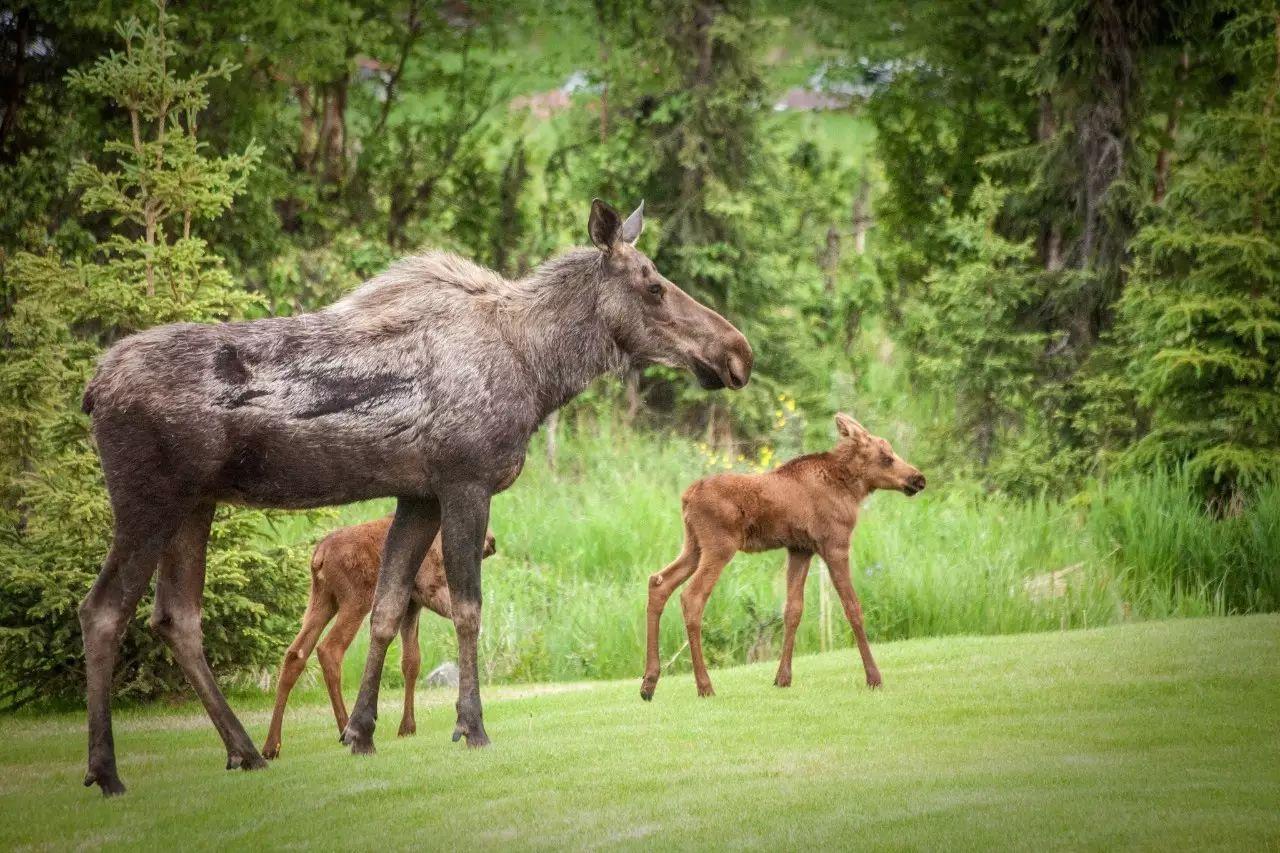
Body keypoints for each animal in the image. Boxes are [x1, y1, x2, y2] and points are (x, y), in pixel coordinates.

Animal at [259, 512, 494, 758]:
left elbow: (411, 662)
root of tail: (318, 557)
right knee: (329, 649)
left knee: (295, 653)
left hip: (322, 599)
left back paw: (271, 745)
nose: (492, 542)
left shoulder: (413, 603)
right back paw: (346, 728)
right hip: (355, 599)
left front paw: (407, 727)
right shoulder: (429, 587)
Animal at [645, 412, 926, 696]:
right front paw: (874, 677)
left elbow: (793, 610)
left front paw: (783, 677)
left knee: (659, 582)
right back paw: (704, 686)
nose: (918, 479)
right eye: (887, 457)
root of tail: (686, 497)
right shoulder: (834, 545)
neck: (850, 488)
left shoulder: (800, 549)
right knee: (691, 596)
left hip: (693, 546)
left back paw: (649, 682)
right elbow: (853, 608)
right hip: (719, 546)